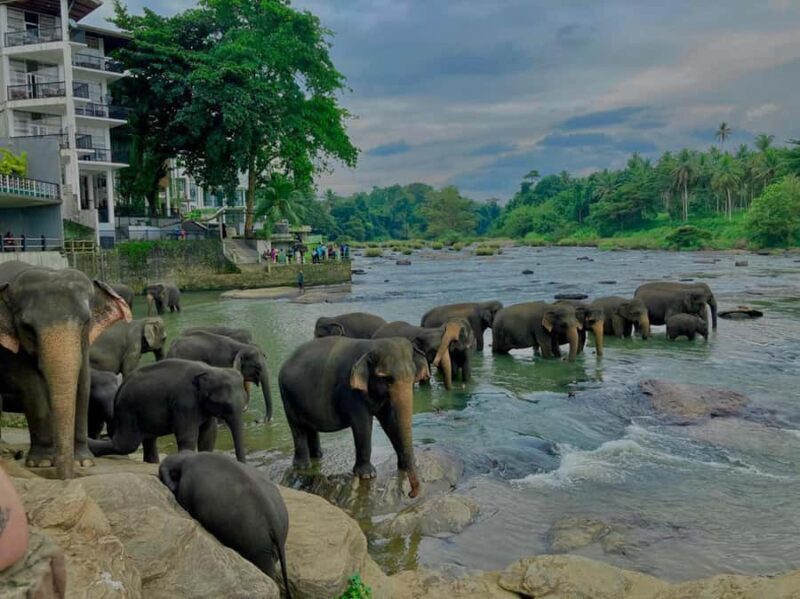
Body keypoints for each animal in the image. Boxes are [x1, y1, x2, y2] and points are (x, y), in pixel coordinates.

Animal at [0, 261, 131, 478]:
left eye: (86, 321)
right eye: (27, 327)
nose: (65, 478)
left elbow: (83, 382)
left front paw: (84, 462)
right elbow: (29, 384)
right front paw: (42, 463)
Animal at [88, 359, 247, 463]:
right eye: (224, 404)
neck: (210, 369)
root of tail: (120, 387)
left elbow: (209, 434)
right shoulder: (184, 403)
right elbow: (187, 436)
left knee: (148, 440)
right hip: (128, 413)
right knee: (125, 445)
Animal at [279, 336, 429, 497]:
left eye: (413, 377)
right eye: (386, 378)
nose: (410, 494)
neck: (371, 346)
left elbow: (390, 422)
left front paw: (402, 466)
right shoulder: (349, 390)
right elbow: (362, 424)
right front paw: (367, 475)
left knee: (310, 427)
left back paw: (318, 456)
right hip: (287, 397)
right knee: (297, 427)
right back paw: (303, 466)